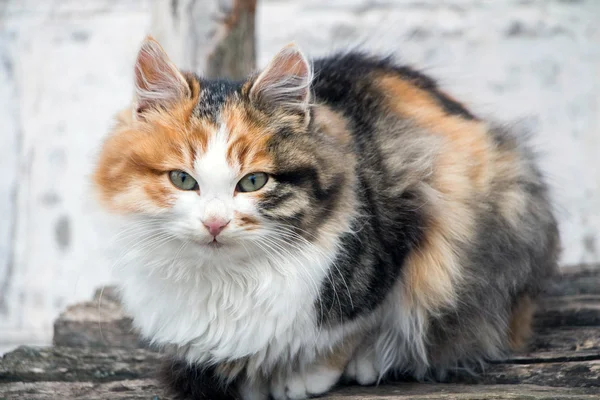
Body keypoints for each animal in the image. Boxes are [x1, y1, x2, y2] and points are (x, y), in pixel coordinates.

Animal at [92, 36, 556, 398]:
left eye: (254, 181)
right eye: (183, 180)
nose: (215, 224)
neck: (224, 280)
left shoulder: (408, 229)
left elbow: (348, 331)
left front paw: (305, 376)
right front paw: (257, 380)